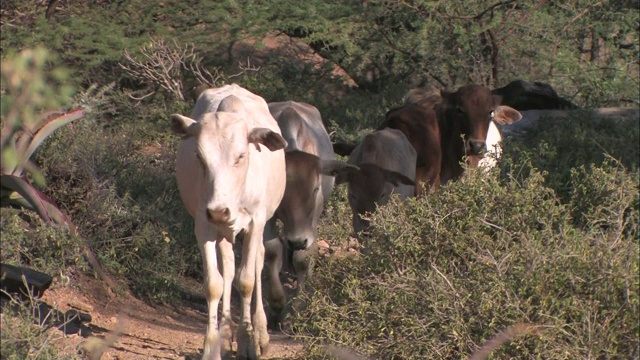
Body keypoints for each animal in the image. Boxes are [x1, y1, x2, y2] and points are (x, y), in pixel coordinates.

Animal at [172, 83, 288, 360]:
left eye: (241, 156)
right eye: (199, 156)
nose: (219, 211)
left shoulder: (256, 222)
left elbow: (246, 281)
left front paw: (248, 341)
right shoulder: (203, 225)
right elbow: (214, 283)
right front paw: (212, 345)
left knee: (257, 264)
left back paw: (260, 333)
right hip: (222, 230)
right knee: (228, 267)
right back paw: (226, 334)